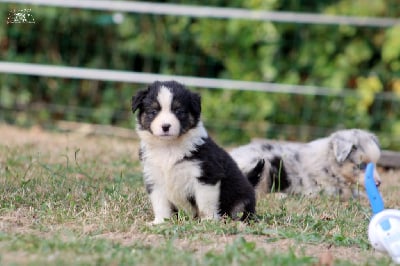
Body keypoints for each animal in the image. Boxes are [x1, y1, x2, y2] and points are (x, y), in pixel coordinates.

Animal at [132, 80, 260, 223]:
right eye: (153, 111)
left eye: (179, 111)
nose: (165, 126)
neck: (169, 146)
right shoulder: (154, 178)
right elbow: (161, 205)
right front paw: (160, 222)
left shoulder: (206, 176)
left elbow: (205, 204)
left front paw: (208, 221)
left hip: (241, 201)